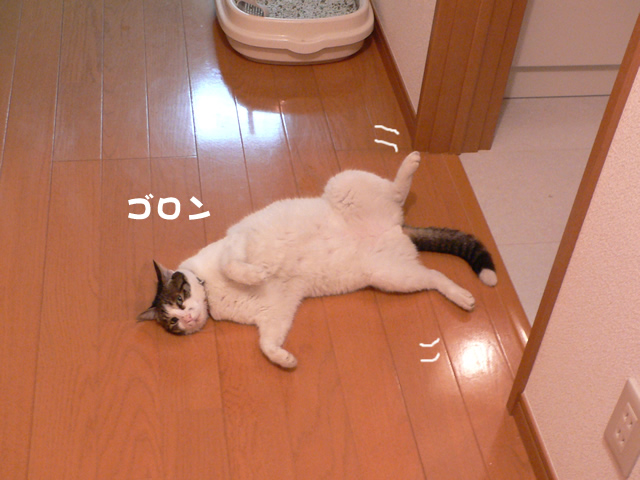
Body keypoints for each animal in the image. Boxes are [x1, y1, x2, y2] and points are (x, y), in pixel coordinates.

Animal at [138, 152, 497, 369]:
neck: (213, 293)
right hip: (393, 276)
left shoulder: (237, 242)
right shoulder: (274, 311)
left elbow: (234, 265)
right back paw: (463, 297)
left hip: (344, 184)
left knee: (397, 191)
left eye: (181, 299)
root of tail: (396, 227)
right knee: (435, 276)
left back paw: (411, 162)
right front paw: (283, 359)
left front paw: (255, 274)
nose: (186, 319)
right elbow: (266, 343)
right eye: (172, 322)